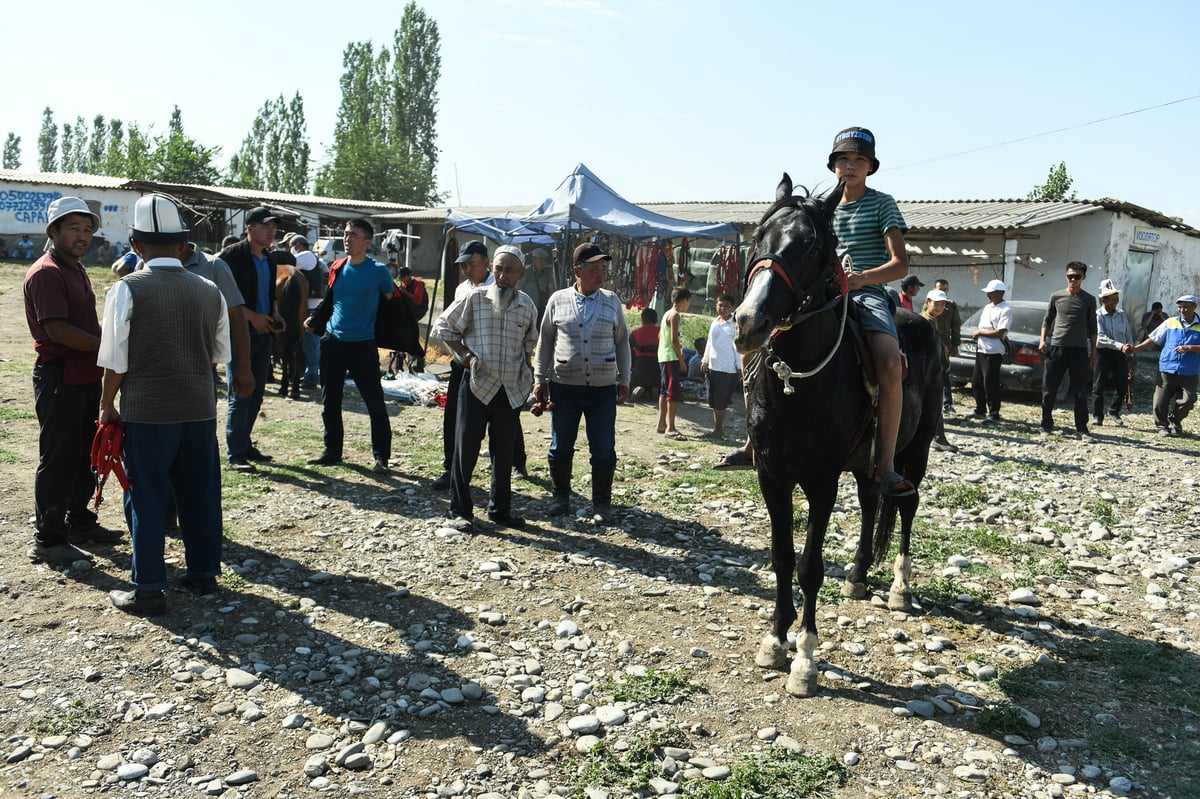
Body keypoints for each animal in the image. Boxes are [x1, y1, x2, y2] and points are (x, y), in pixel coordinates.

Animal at [734, 172, 940, 691]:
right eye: (758, 237)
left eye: (809, 246)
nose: (748, 322)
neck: (797, 380)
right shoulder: (772, 475)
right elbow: (782, 556)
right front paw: (775, 640)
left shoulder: (821, 480)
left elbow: (809, 566)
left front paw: (805, 658)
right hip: (870, 461)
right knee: (871, 501)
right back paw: (859, 575)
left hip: (917, 450)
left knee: (906, 505)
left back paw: (900, 588)